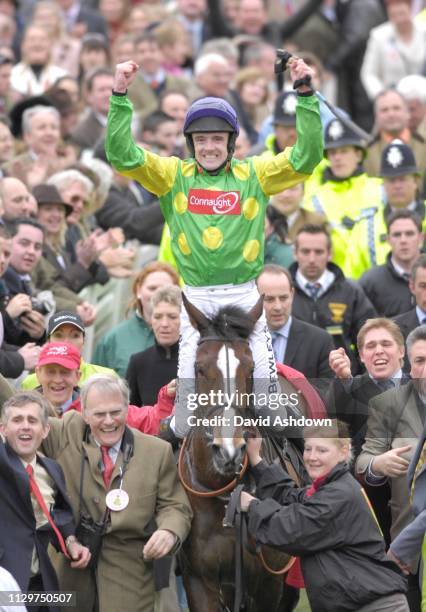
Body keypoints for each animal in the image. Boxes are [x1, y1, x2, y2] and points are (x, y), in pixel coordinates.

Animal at [177, 296, 306, 612]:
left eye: (249, 369)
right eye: (199, 367)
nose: (229, 450)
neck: (224, 495)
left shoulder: (268, 583)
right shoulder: (198, 580)